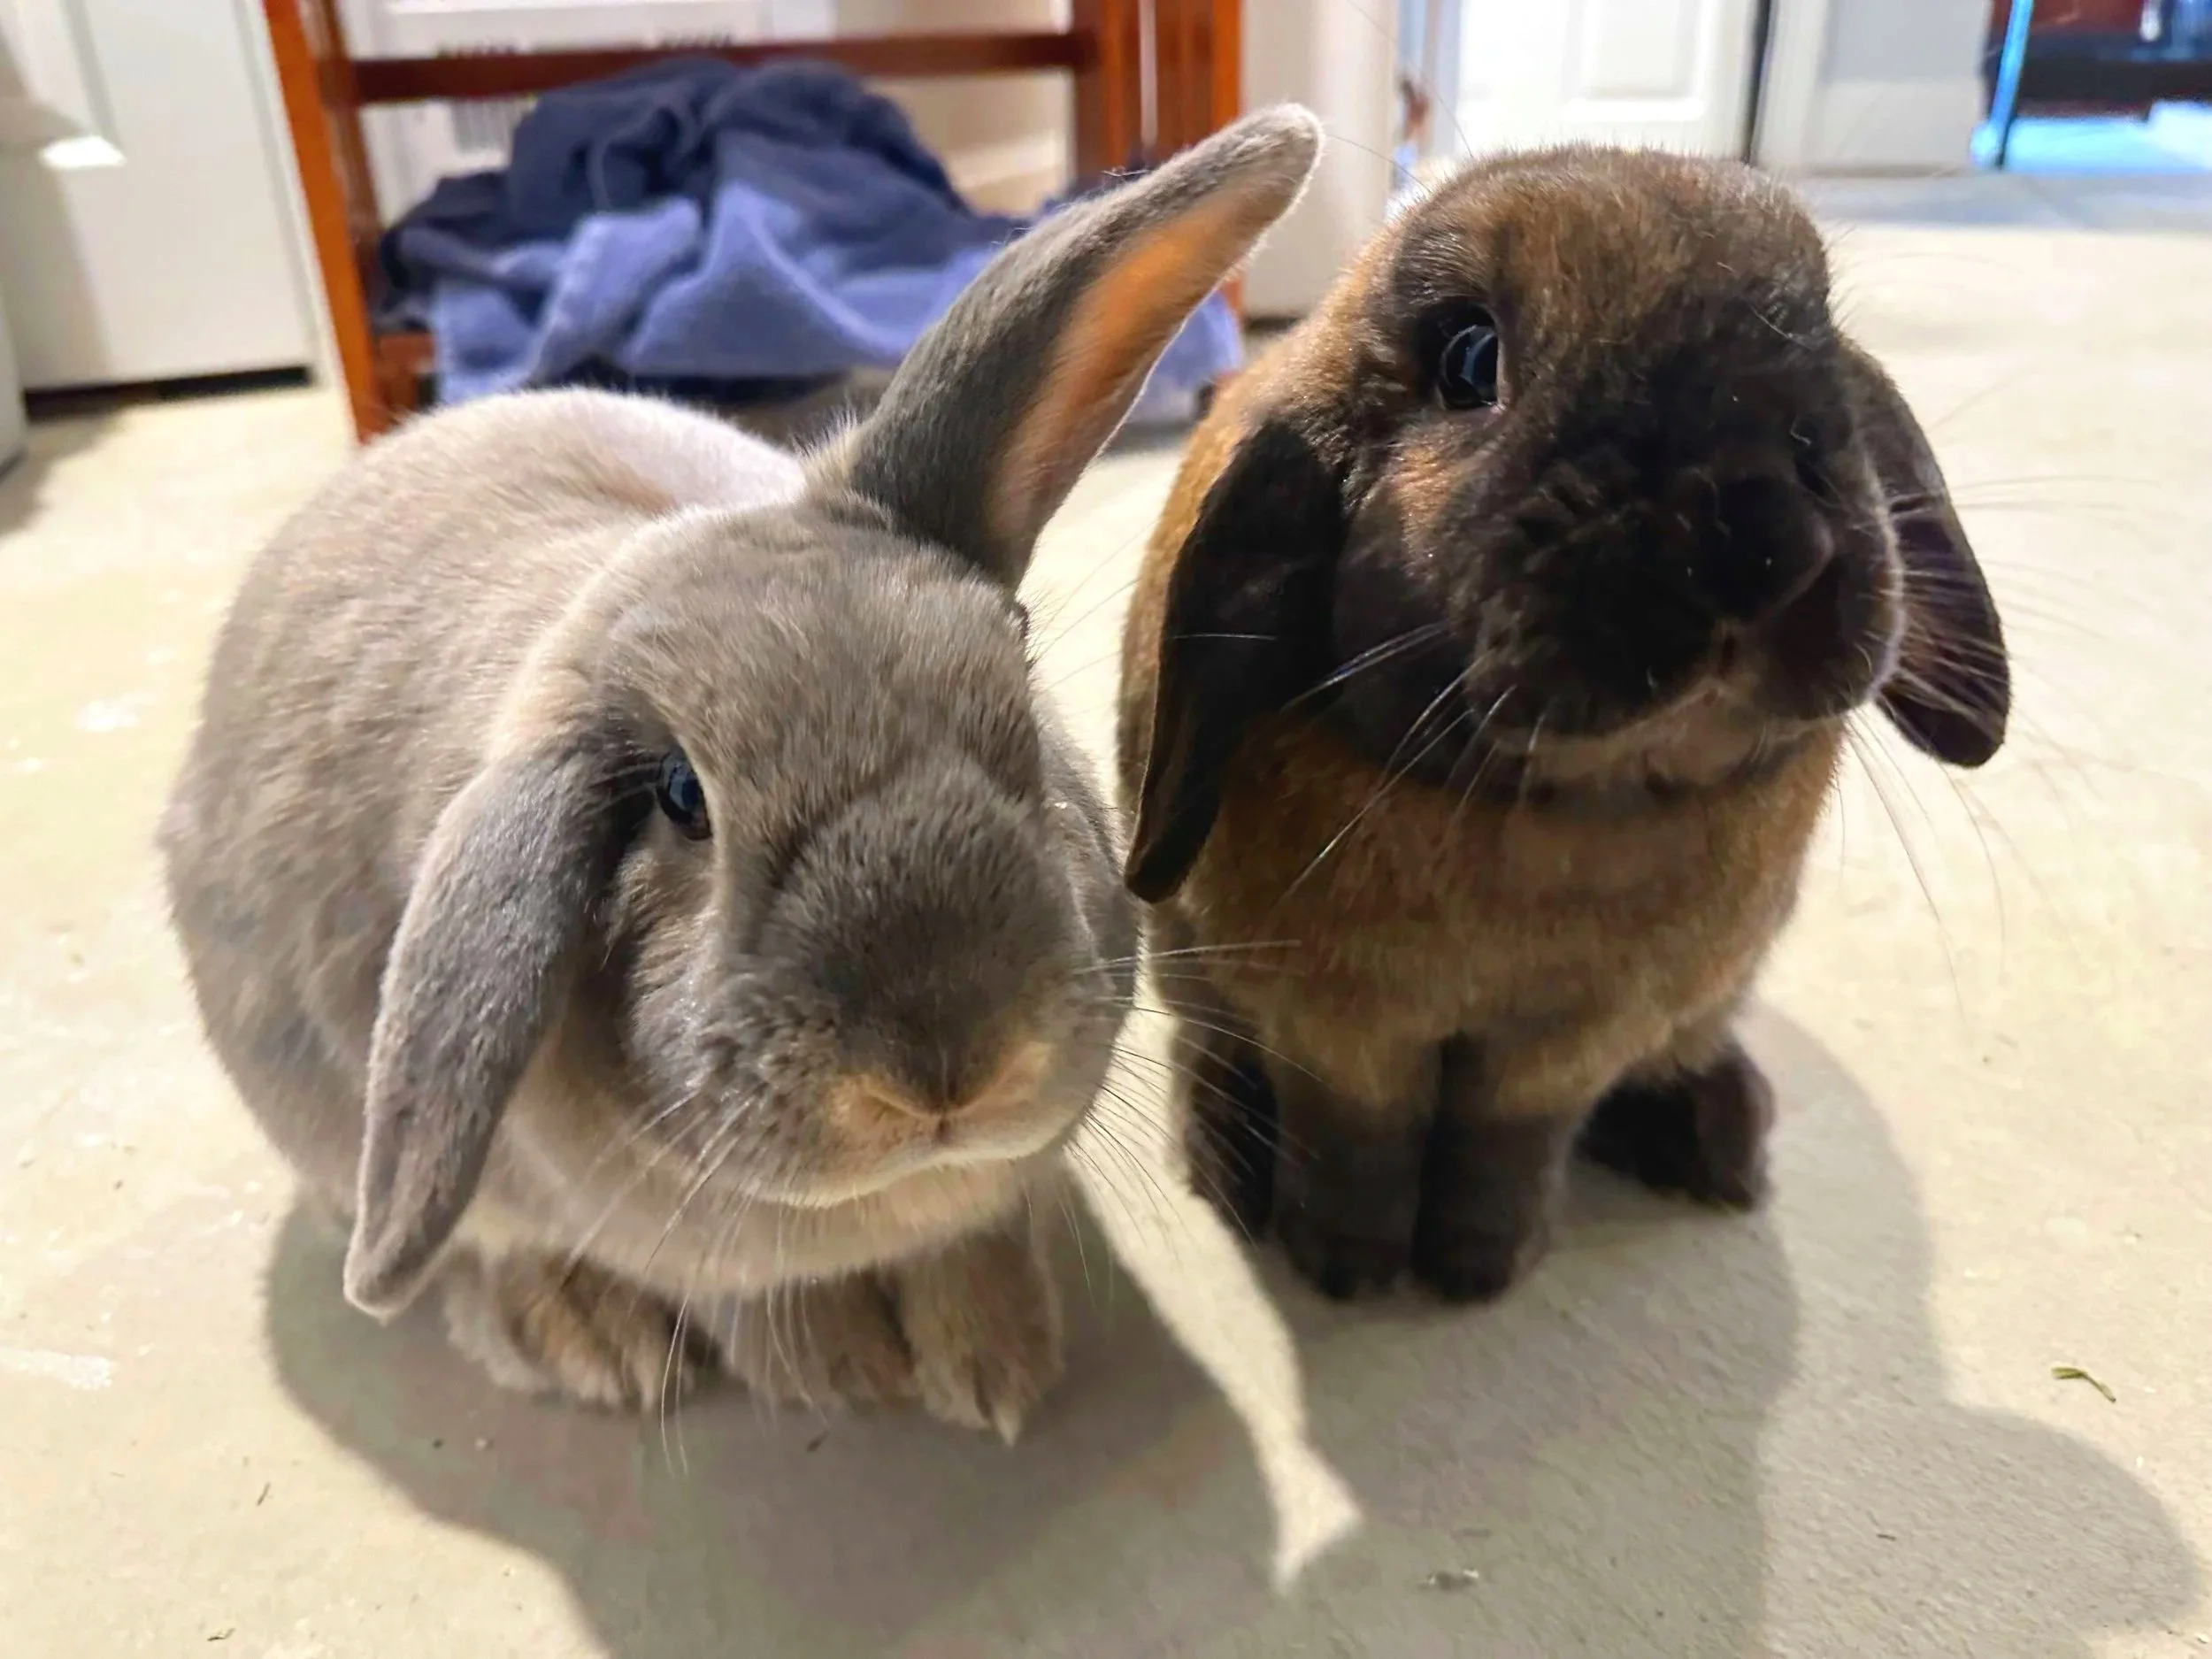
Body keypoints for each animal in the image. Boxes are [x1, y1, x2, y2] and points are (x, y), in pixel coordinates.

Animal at [159, 106, 1322, 1432]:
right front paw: (838, 1366)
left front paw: (992, 1362)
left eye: (1017, 694)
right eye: (681, 799)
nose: (950, 1065)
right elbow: (732, 1293)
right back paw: (587, 1335)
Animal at [1114, 146, 2009, 1305]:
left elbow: (1509, 1143)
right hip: (1186, 960)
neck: (1566, 813)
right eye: (1468, 356)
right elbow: (1355, 1139)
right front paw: (1350, 1269)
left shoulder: (1568, 1045)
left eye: (1819, 334)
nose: (1759, 542)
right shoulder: (1337, 1029)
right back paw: (1227, 1160)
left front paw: (1477, 1269)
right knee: (1208, 1047)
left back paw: (1719, 1144)